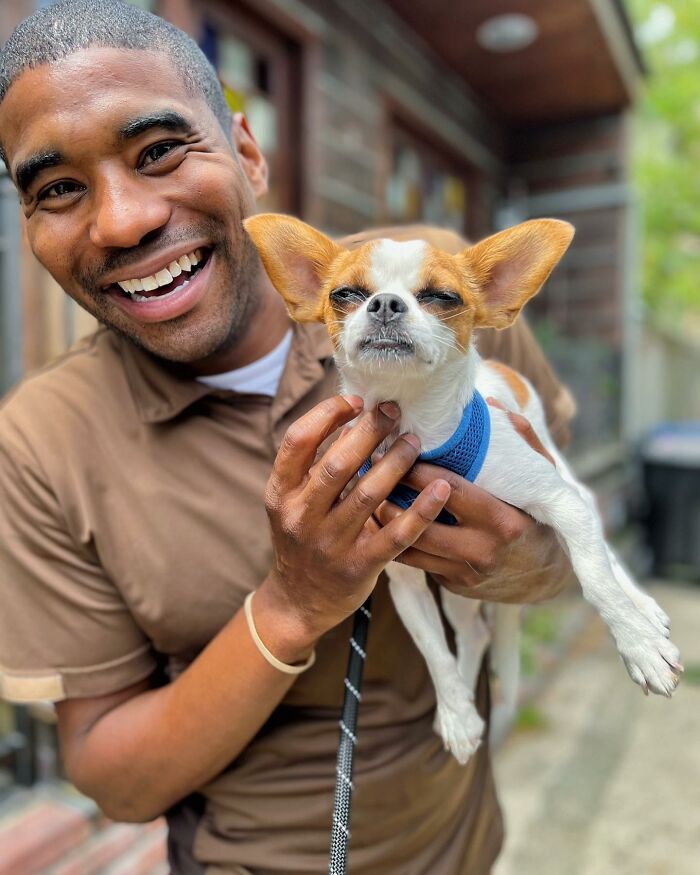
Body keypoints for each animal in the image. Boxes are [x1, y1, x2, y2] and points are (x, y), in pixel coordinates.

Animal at [243, 214, 680, 768]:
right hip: (459, 590)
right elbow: (433, 649)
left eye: (442, 297)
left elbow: (595, 579)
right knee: (471, 632)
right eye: (346, 294)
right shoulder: (404, 581)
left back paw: (642, 611)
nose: (384, 303)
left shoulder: (559, 503)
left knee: (604, 552)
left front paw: (639, 646)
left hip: (562, 481)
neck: (416, 430)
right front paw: (455, 713)